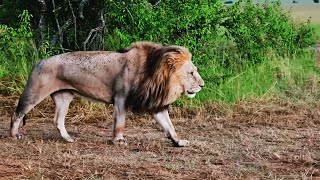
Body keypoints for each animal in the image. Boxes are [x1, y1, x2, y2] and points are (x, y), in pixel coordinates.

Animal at [10, 41, 205, 147]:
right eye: (191, 73)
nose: (202, 85)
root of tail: (38, 62)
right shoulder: (121, 98)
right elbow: (120, 123)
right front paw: (118, 140)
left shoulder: (155, 104)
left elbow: (169, 126)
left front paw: (178, 142)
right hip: (35, 92)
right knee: (17, 113)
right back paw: (14, 135)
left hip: (65, 96)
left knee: (58, 120)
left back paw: (68, 138)